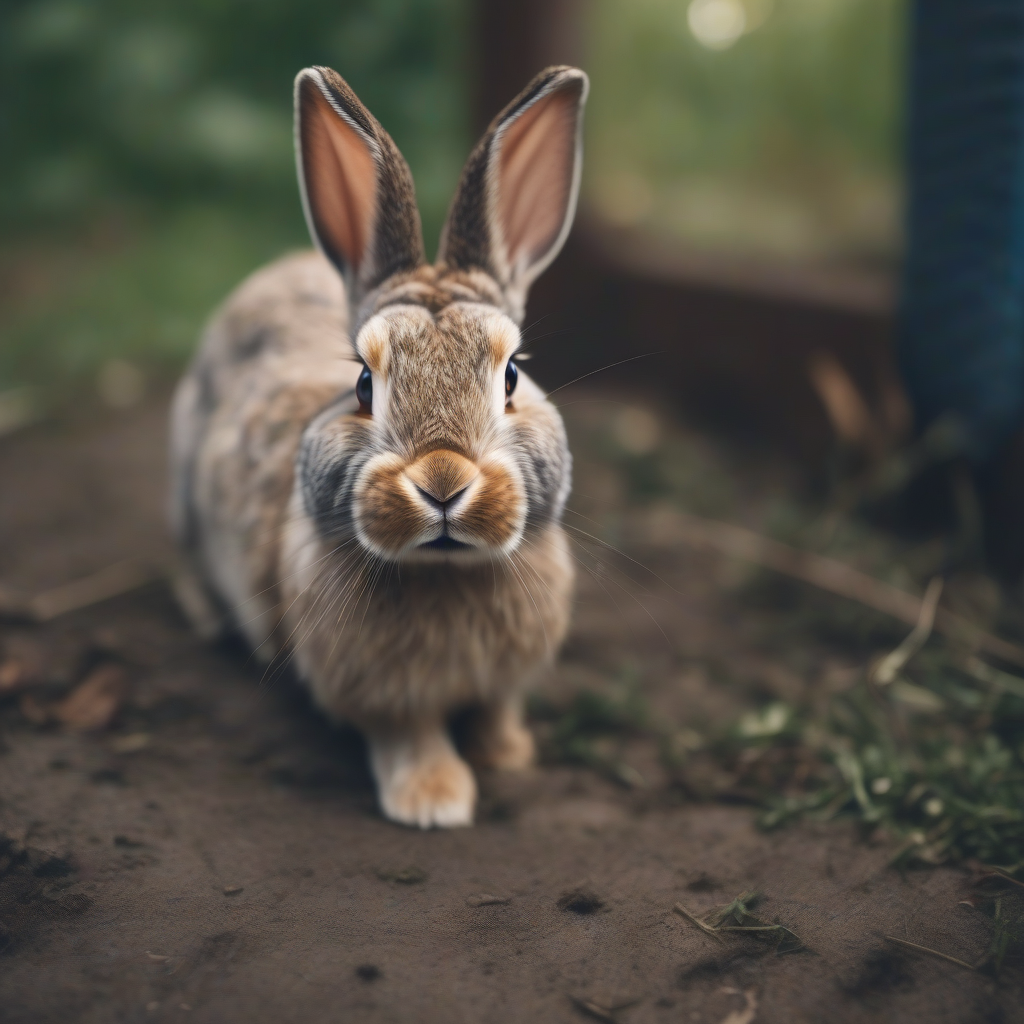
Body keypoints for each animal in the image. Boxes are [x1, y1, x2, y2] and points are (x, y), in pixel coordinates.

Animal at [169, 63, 588, 828]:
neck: (444, 575)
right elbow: (409, 734)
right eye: (363, 384)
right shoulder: (380, 695)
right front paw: (434, 800)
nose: (444, 483)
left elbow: (495, 710)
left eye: (512, 374)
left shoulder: (505, 679)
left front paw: (508, 755)